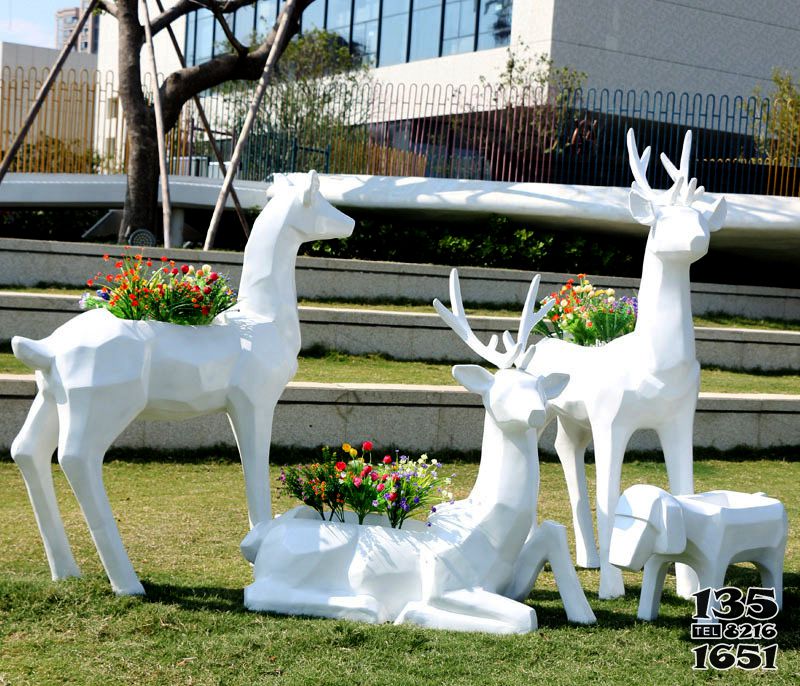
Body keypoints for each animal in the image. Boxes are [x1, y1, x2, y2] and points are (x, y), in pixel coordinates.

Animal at [239, 272, 592, 636]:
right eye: (501, 389)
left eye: (538, 388)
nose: (538, 412)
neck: (492, 532)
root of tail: (260, 539)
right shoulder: (443, 579)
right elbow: (526, 617)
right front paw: (411, 612)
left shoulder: (510, 583)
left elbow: (552, 532)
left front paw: (583, 613)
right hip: (300, 560)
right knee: (256, 592)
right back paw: (371, 606)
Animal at [524, 132, 724, 600]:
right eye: (662, 218)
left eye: (700, 217)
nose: (698, 239)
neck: (656, 366)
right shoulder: (611, 421)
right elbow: (611, 499)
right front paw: (612, 590)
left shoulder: (680, 419)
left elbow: (685, 491)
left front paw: (688, 588)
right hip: (552, 415)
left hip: (575, 421)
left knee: (567, 452)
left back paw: (590, 558)